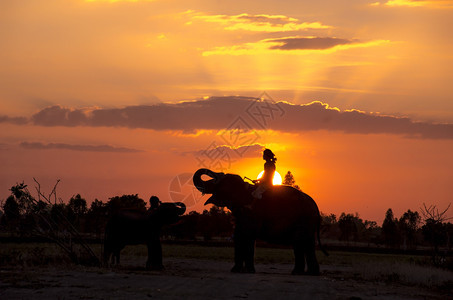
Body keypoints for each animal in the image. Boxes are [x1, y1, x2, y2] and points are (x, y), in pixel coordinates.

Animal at [192, 168, 326, 276]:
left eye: (220, 182)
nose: (215, 174)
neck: (245, 188)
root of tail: (315, 205)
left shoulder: (252, 214)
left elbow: (249, 236)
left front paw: (249, 271)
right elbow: (239, 236)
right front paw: (235, 270)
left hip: (304, 220)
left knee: (300, 243)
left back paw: (298, 273)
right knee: (308, 244)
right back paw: (311, 273)